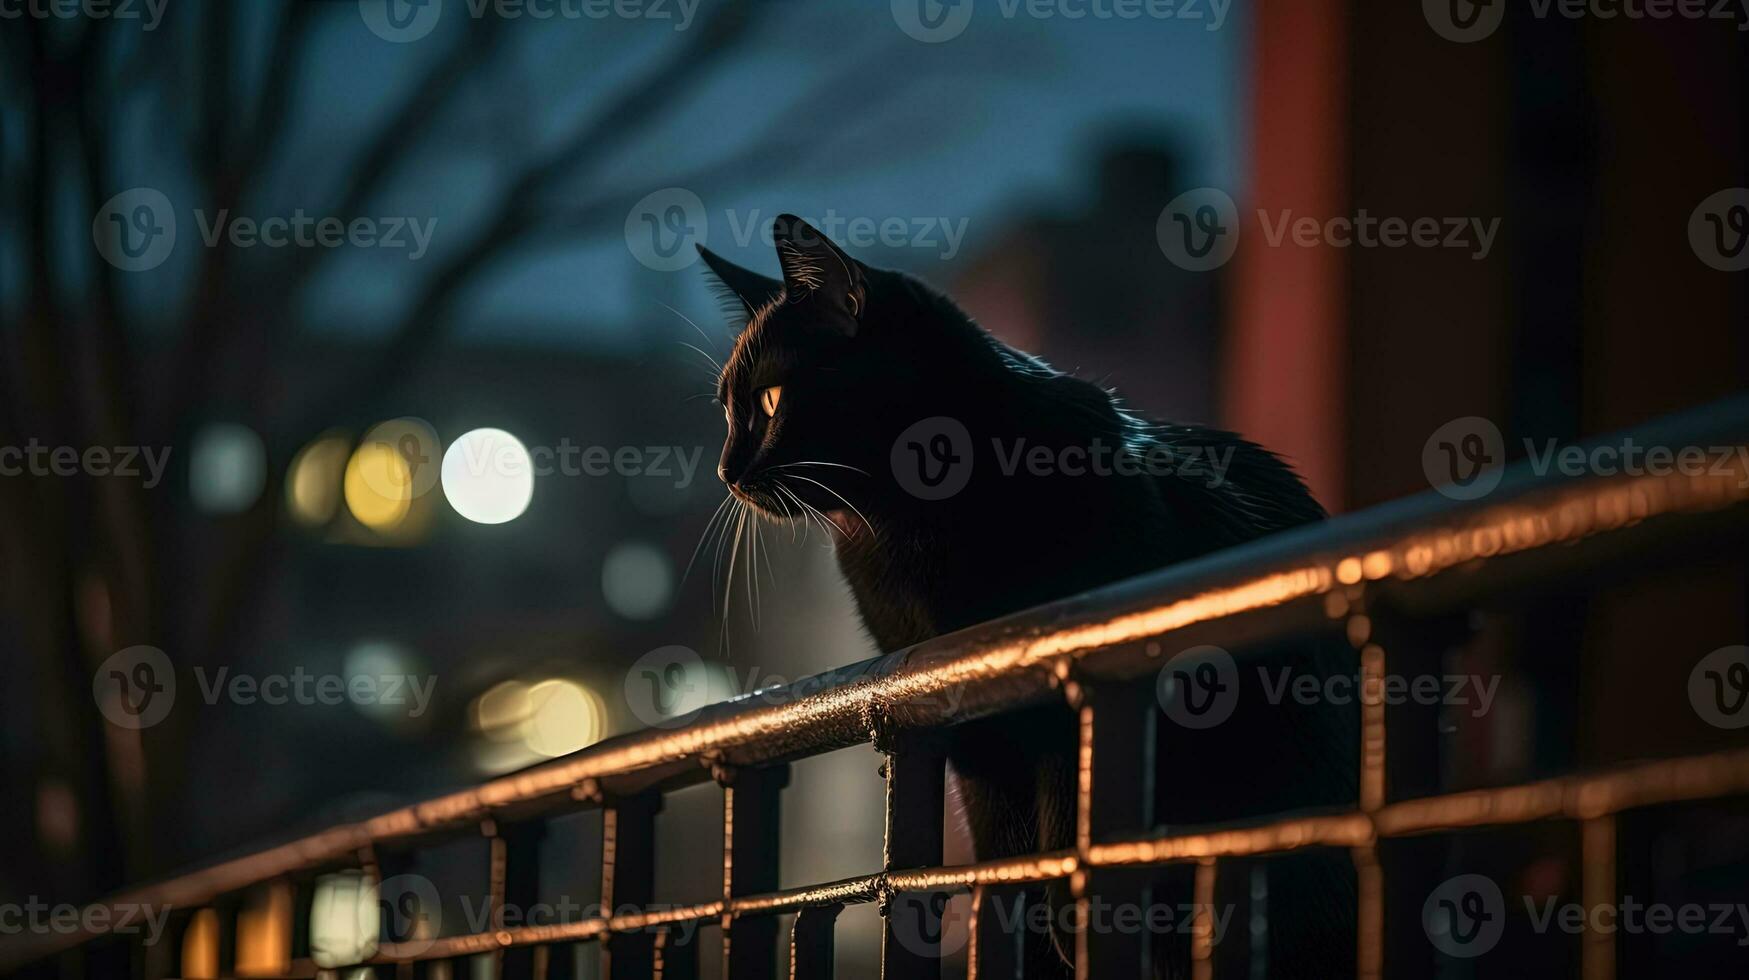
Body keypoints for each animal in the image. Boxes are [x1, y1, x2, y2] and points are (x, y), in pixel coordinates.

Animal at [703, 216, 1357, 980]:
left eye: (771, 400)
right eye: (726, 410)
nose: (725, 471)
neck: (904, 526)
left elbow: (1065, 826)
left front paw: (1076, 923)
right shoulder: (970, 738)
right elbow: (1005, 861)